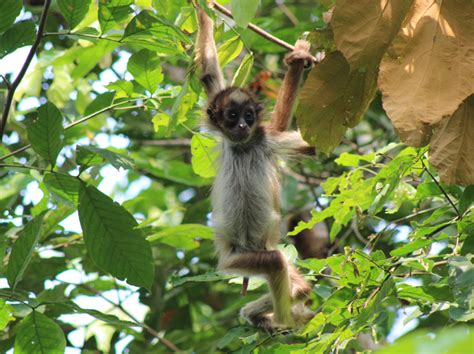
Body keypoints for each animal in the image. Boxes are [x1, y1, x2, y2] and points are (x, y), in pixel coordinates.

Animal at [194, 3, 316, 330]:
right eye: (232, 115)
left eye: (248, 116)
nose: (241, 125)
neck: (244, 146)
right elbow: (209, 72)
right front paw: (202, 7)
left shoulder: (266, 140)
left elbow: (313, 144)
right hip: (235, 259)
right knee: (281, 268)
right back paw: (271, 316)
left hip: (258, 253)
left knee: (291, 277)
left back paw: (276, 317)